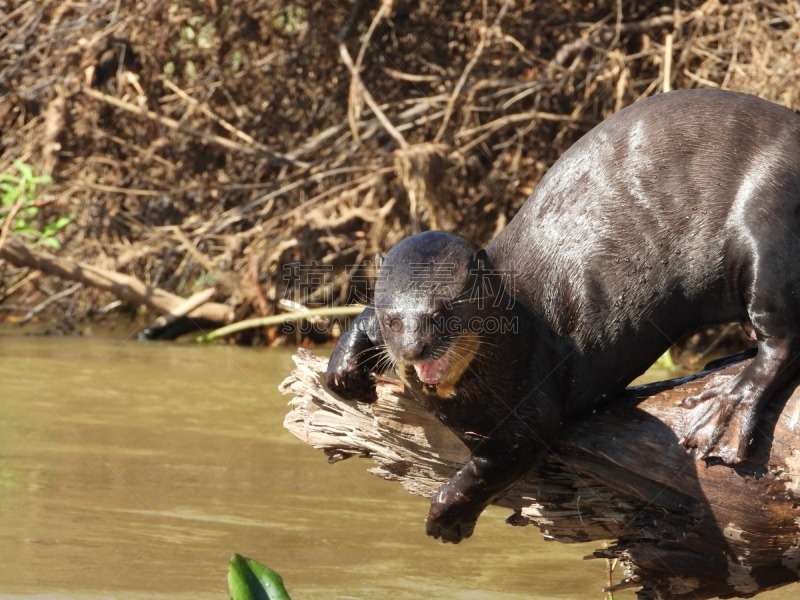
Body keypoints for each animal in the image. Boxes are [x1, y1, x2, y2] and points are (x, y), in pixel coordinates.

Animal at [322, 89, 800, 544]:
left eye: (442, 313)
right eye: (393, 319)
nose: (413, 349)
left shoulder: (532, 399)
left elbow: (498, 462)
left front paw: (447, 515)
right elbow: (361, 320)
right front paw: (342, 370)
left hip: (768, 223)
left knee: (782, 341)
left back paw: (723, 411)